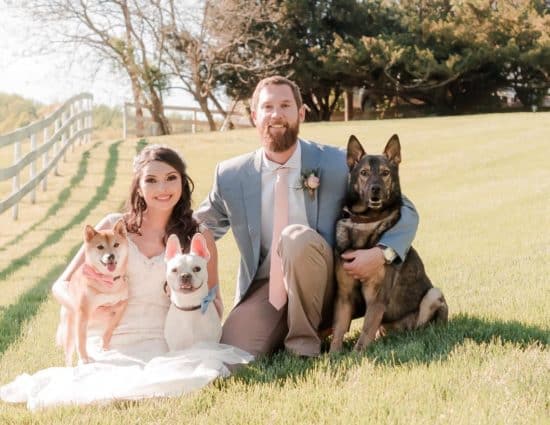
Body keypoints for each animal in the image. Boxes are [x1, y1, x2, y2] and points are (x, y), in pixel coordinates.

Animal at [57, 219, 130, 364]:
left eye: (116, 244)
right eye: (100, 247)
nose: (111, 256)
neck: (108, 281)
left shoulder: (122, 305)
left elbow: (110, 328)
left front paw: (104, 345)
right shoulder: (83, 313)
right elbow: (81, 340)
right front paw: (84, 358)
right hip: (69, 332)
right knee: (68, 357)